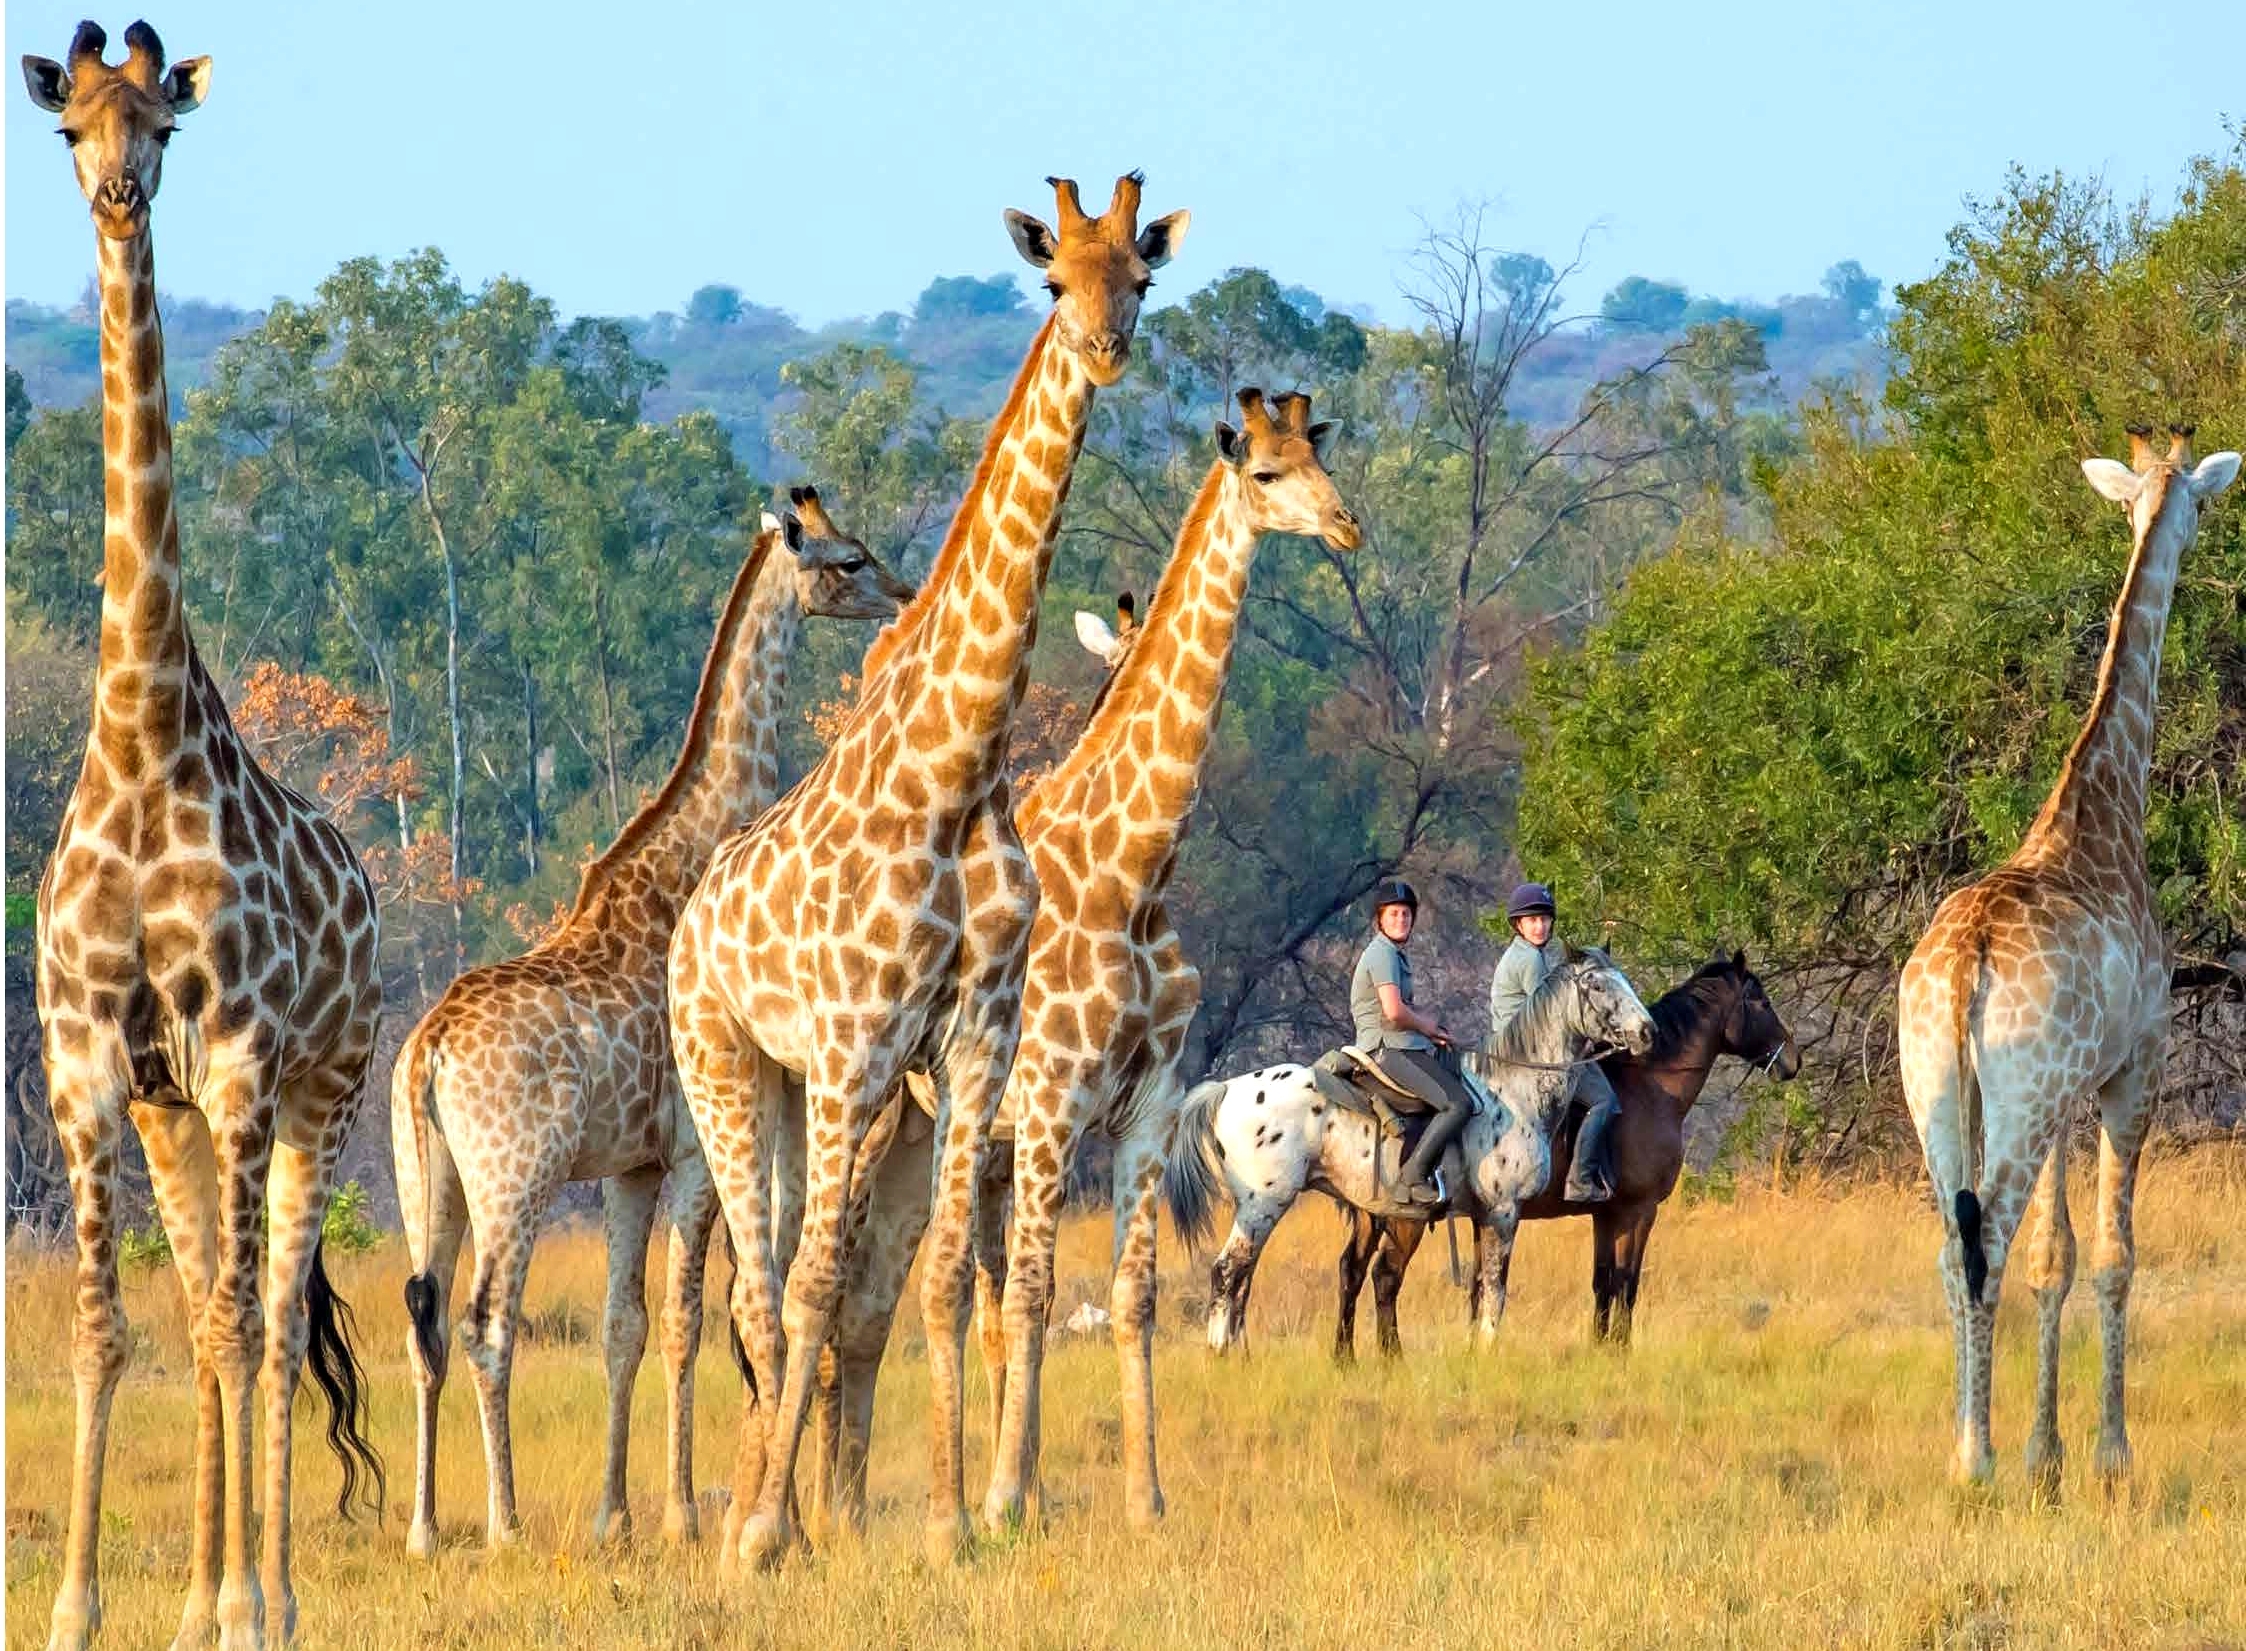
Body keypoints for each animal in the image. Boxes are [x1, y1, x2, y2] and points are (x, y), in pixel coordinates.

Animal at [1162, 948, 1655, 1352]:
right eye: (1597, 985)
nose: (1646, 1032)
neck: (1512, 1090)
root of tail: (1226, 1089)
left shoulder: (1481, 1215)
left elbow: (1479, 1286)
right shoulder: (1503, 1210)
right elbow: (1496, 1289)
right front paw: (1489, 1351)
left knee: (1244, 1280)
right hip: (1264, 1203)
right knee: (1228, 1273)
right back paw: (1221, 1357)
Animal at [1338, 950, 1799, 1357]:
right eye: (1761, 1002)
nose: (1792, 1060)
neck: (1653, 1088)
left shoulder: (1605, 1213)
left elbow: (1601, 1280)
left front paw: (1600, 1346)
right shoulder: (1638, 1209)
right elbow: (1626, 1281)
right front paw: (1619, 1350)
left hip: (1370, 1216)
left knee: (1353, 1271)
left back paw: (1347, 1355)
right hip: (1404, 1219)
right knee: (1386, 1276)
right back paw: (1390, 1355)